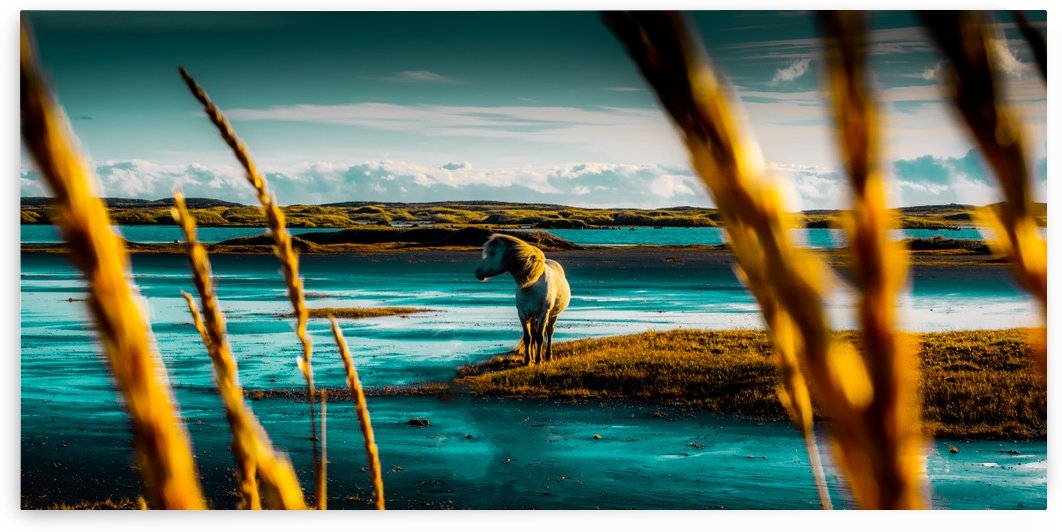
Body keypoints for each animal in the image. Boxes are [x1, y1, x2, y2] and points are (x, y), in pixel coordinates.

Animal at [474, 234, 571, 365]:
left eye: (493, 253)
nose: (477, 272)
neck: (532, 283)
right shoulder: (523, 314)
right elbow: (528, 337)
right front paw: (528, 360)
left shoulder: (543, 314)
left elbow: (540, 337)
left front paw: (538, 360)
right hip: (533, 316)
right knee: (534, 334)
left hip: (552, 315)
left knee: (549, 332)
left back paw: (548, 356)